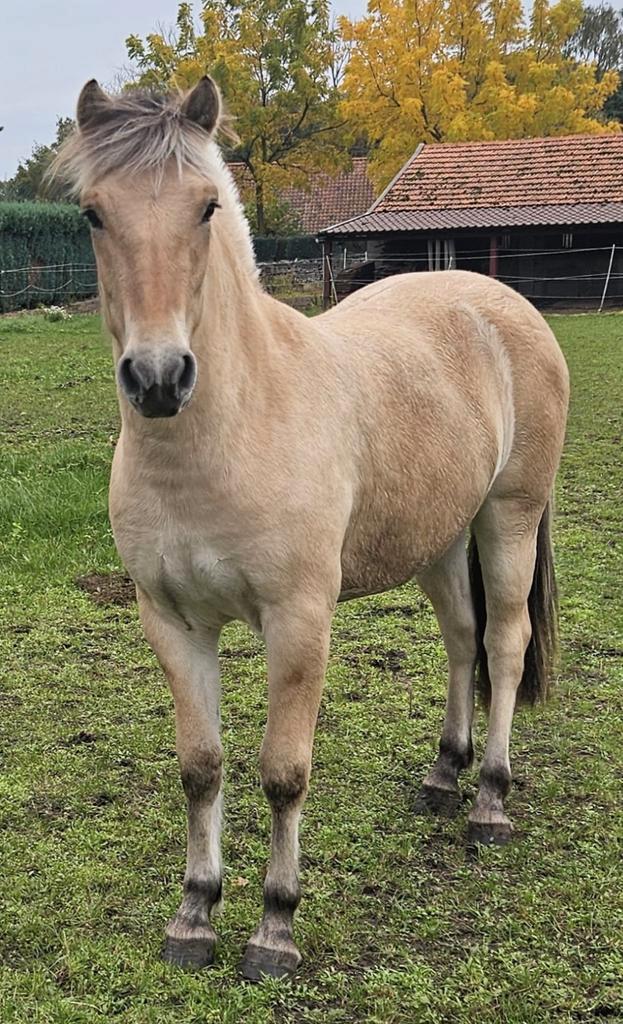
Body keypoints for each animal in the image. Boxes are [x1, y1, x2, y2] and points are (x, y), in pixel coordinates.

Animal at [51, 77, 569, 981]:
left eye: (205, 207)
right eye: (93, 213)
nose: (159, 378)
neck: (232, 427)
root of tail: (501, 302)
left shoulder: (298, 621)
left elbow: (282, 773)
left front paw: (273, 928)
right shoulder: (172, 623)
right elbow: (201, 768)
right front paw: (194, 915)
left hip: (507, 517)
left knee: (504, 644)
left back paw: (488, 804)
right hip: (439, 539)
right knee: (462, 640)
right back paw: (444, 775)